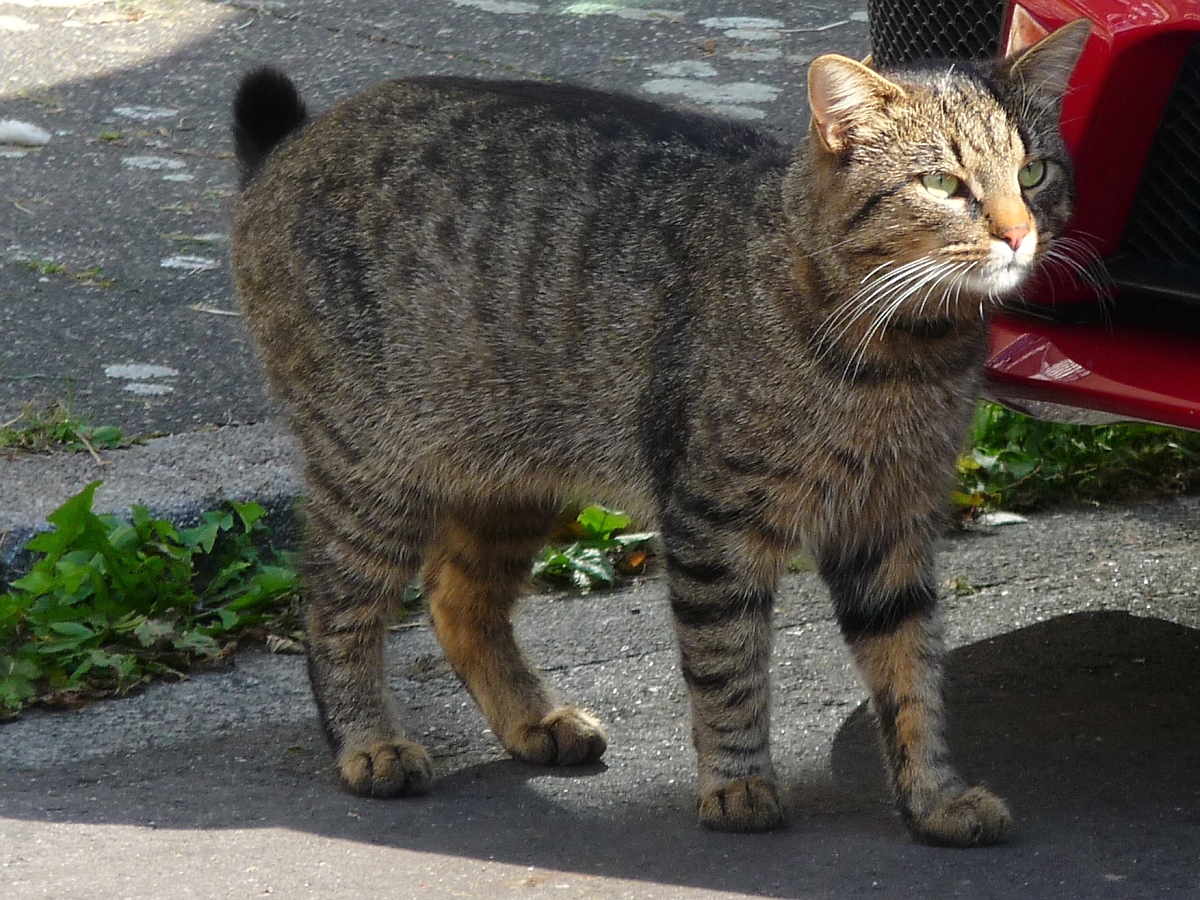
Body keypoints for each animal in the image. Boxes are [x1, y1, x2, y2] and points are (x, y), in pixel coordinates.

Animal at [229, 19, 1094, 844]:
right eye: (944, 184)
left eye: (1033, 174)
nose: (1018, 234)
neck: (904, 350)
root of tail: (293, 142)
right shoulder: (715, 522)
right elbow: (728, 665)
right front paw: (737, 784)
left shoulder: (892, 524)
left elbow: (912, 675)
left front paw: (933, 799)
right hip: (374, 470)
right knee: (332, 599)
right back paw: (368, 741)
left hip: (508, 479)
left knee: (456, 596)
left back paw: (531, 719)